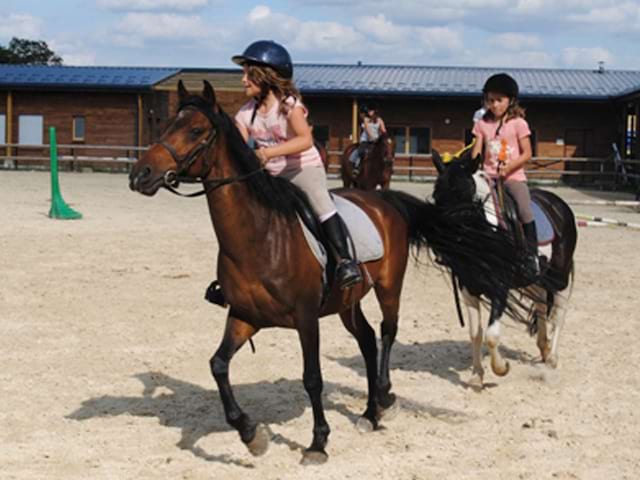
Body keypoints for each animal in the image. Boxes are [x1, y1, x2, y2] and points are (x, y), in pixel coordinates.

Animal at [129, 80, 524, 464]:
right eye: (166, 124)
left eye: (196, 130)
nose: (140, 174)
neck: (260, 236)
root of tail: (386, 201)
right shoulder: (244, 316)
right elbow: (218, 365)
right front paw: (251, 434)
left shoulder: (306, 319)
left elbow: (312, 379)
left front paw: (318, 443)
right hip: (347, 302)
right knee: (366, 340)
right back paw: (370, 413)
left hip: (388, 287)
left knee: (387, 333)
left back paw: (383, 397)